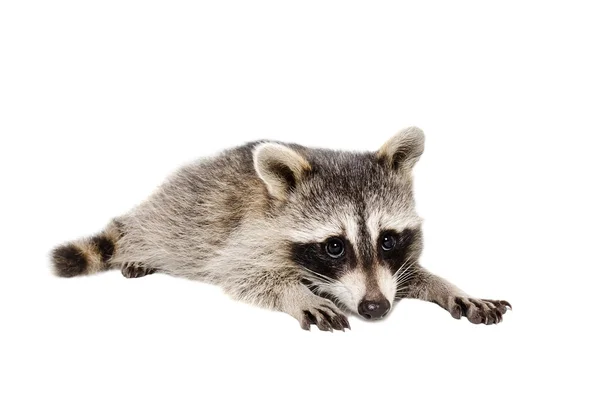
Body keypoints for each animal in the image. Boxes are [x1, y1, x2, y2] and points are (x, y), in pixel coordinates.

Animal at [52, 127, 510, 332]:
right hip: (182, 212)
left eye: (388, 240)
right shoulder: (247, 236)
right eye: (334, 247)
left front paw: (451, 288)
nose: (376, 309)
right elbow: (246, 274)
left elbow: (409, 273)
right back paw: (137, 250)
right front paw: (297, 294)